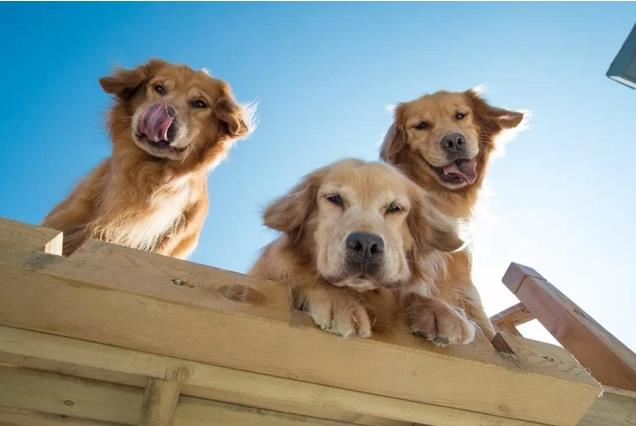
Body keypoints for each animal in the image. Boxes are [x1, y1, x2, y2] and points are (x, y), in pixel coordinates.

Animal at [251, 158, 474, 344]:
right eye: (334, 199)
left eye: (394, 207)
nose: (366, 244)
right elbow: (308, 278)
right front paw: (341, 303)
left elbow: (409, 293)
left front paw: (441, 311)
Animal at [382, 88, 520, 342]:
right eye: (421, 126)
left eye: (460, 115)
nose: (454, 141)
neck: (441, 198)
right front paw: (435, 310)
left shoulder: (463, 278)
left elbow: (485, 324)